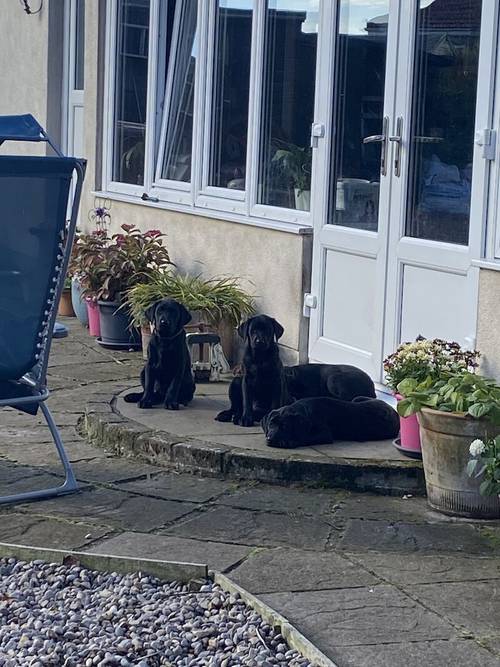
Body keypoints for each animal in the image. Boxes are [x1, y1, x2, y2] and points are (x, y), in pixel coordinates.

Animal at [262, 396, 398, 448]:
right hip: (357, 398)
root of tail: (393, 409)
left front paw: (291, 441)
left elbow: (306, 438)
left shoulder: (325, 434)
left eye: (285, 426)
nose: (269, 439)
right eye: (270, 424)